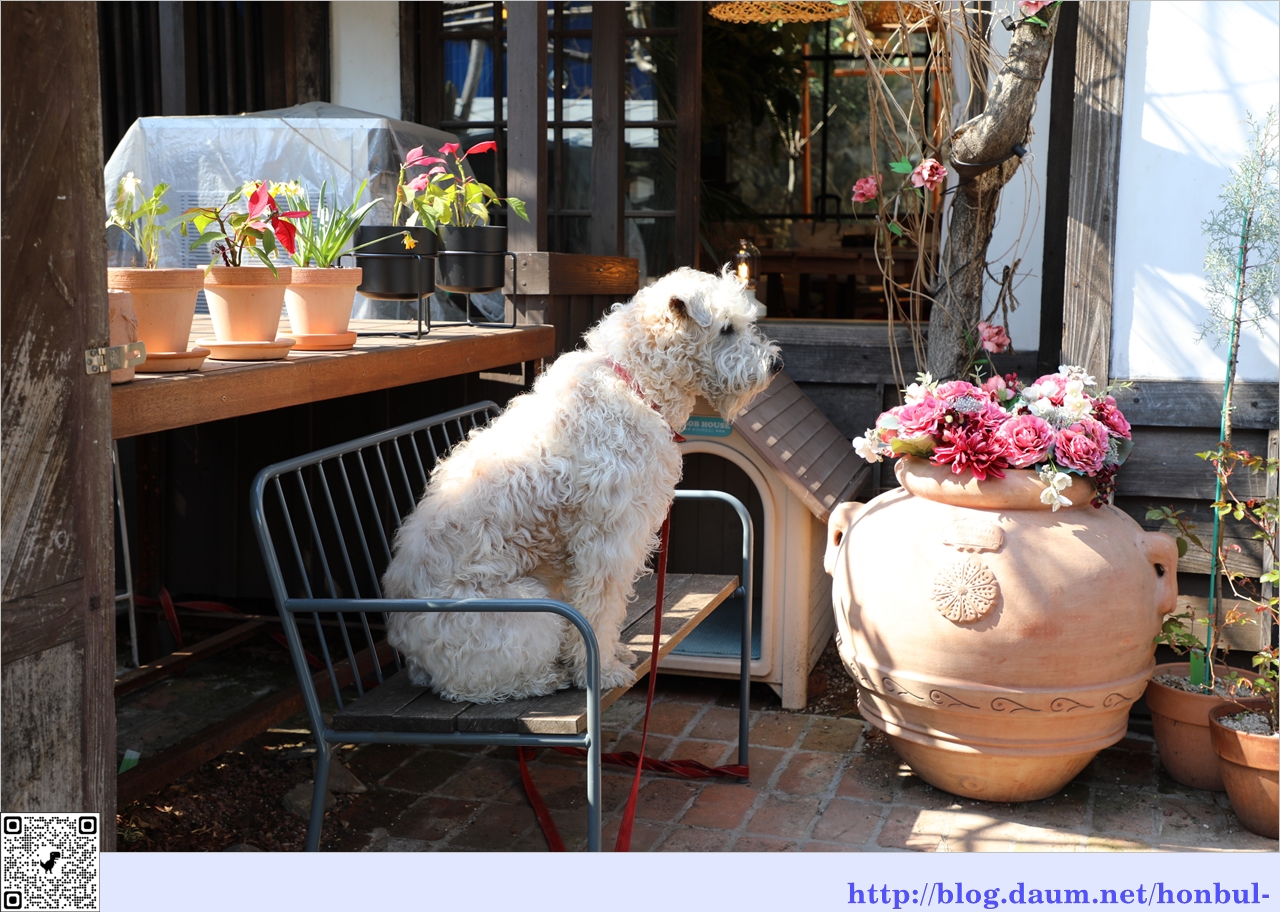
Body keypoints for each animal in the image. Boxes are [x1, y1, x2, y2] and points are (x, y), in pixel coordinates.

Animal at [382, 266, 783, 703]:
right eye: (726, 328)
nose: (776, 364)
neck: (637, 383)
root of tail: (406, 644)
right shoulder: (608, 542)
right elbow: (598, 612)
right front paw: (600, 671)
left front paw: (610, 655)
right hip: (523, 614)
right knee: (469, 683)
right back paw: (546, 679)